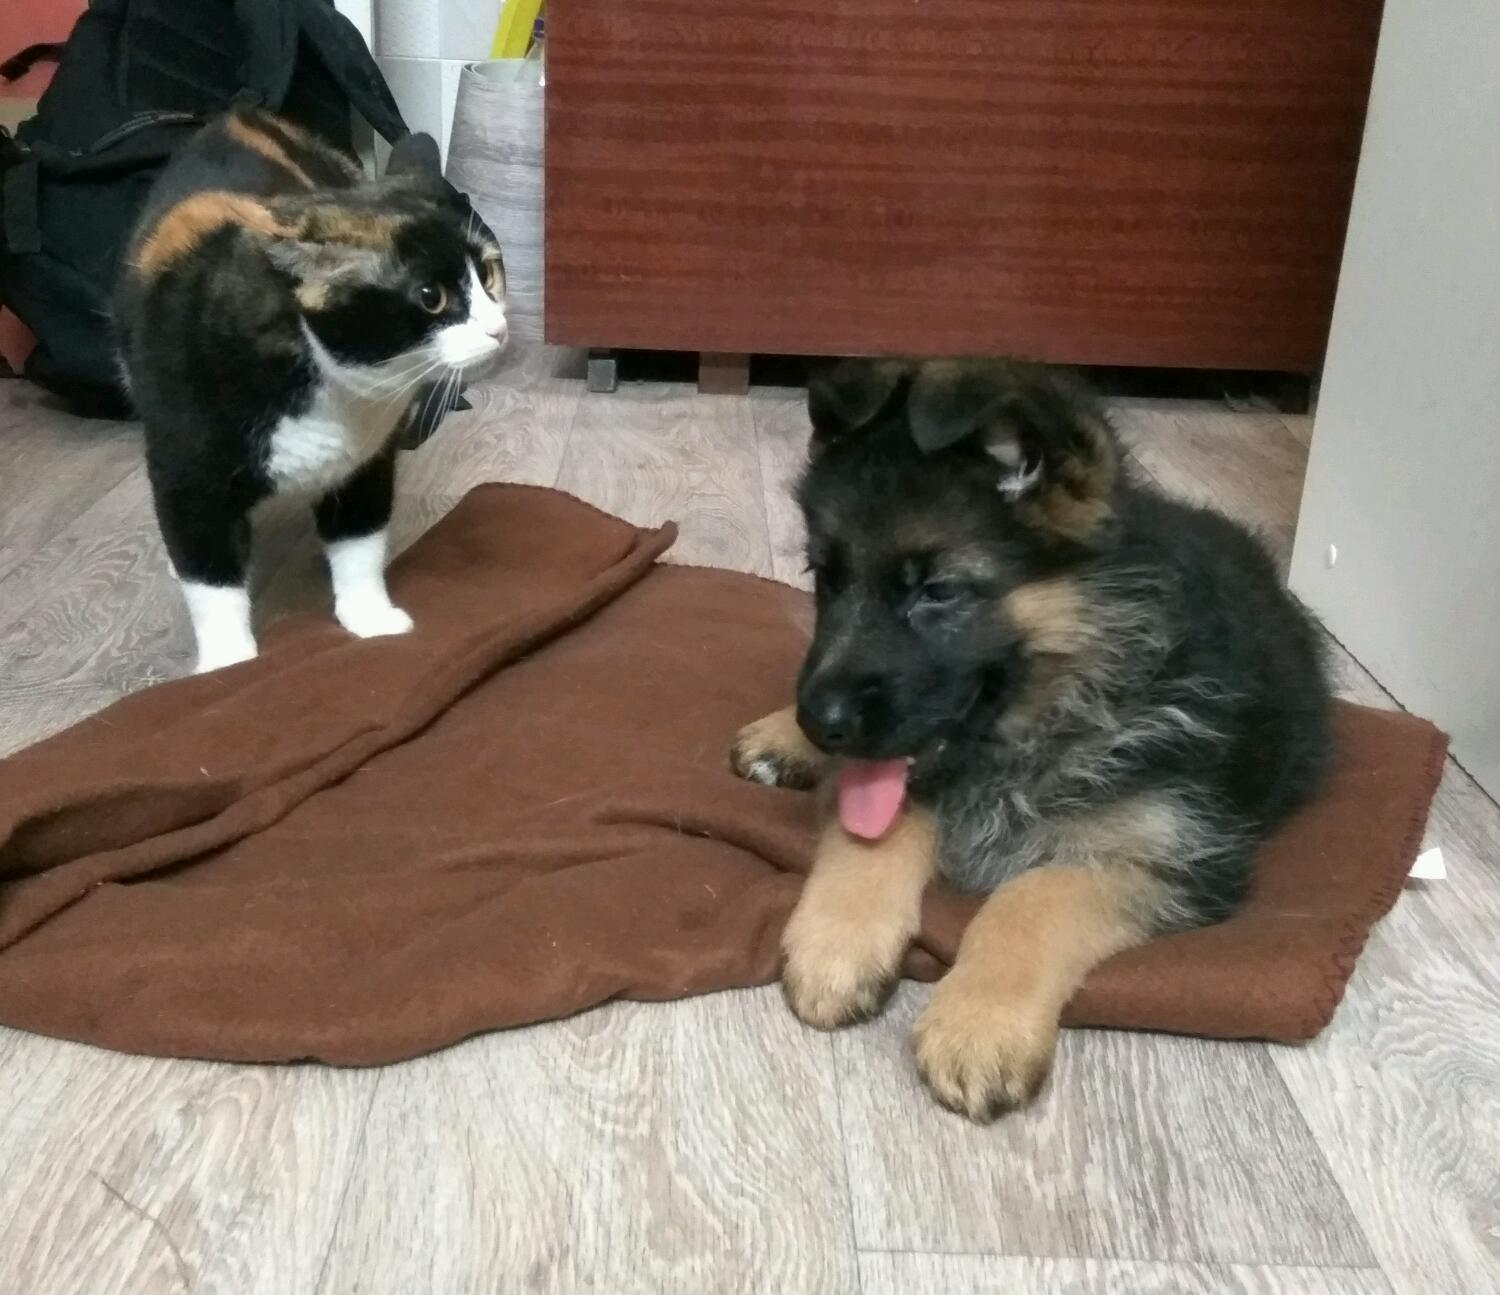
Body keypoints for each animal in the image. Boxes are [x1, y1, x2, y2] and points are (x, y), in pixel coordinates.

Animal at [115, 107, 508, 673]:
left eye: (489, 272)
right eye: (430, 297)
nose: (499, 329)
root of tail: (238, 113)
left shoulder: (368, 458)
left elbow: (360, 535)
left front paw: (370, 617)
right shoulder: (185, 463)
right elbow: (210, 578)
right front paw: (228, 662)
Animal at [732, 358, 1332, 1121]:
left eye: (937, 591)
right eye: (825, 577)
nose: (819, 722)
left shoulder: (1168, 856)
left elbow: (1033, 895)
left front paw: (977, 1025)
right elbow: (877, 832)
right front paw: (837, 942)